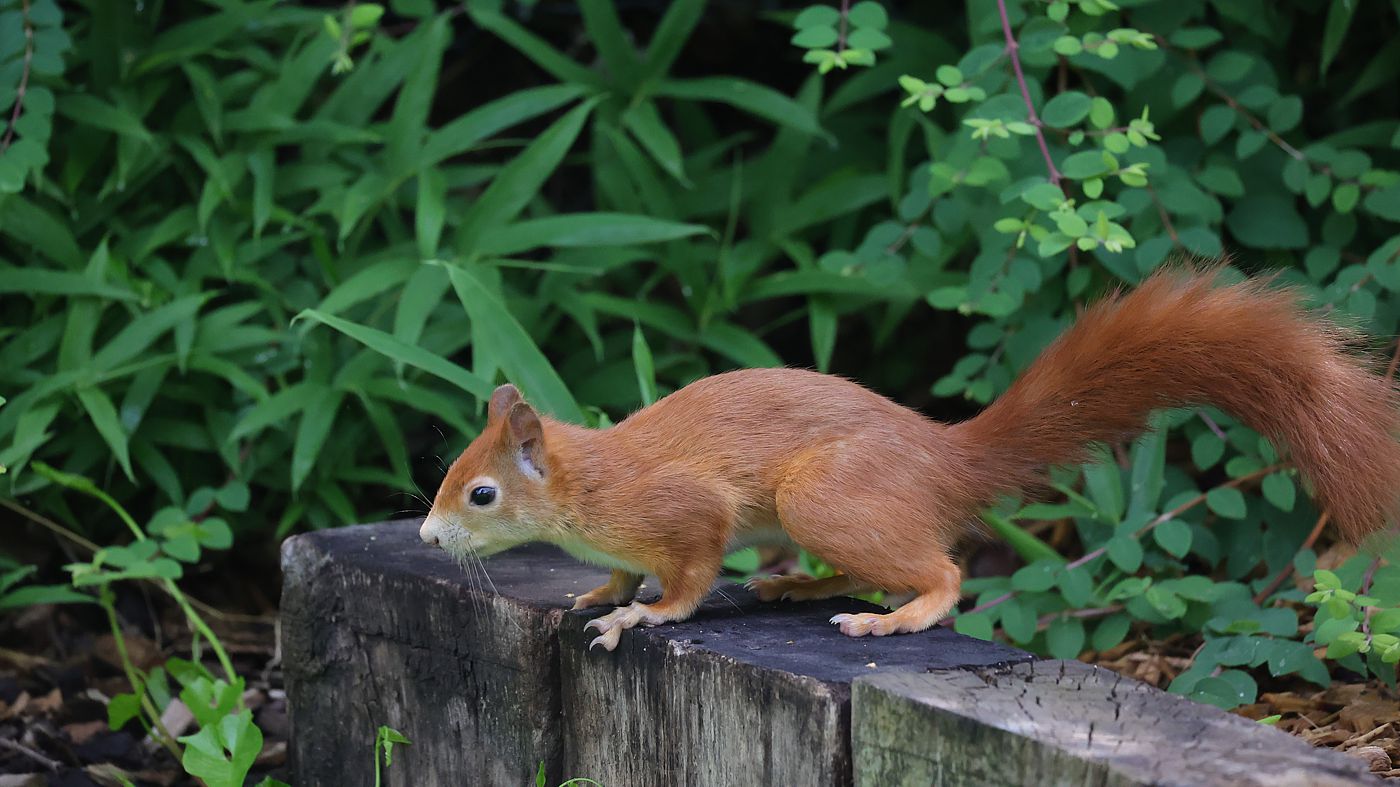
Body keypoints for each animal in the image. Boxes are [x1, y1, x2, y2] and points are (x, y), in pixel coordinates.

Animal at [420, 266, 1400, 646]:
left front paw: (642, 614)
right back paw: (797, 585)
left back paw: (892, 618)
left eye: (479, 494)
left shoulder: (683, 511)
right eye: (451, 478)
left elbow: (689, 575)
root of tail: (942, 455)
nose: (427, 539)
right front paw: (603, 590)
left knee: (944, 571)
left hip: (825, 497)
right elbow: (621, 569)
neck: (591, 478)